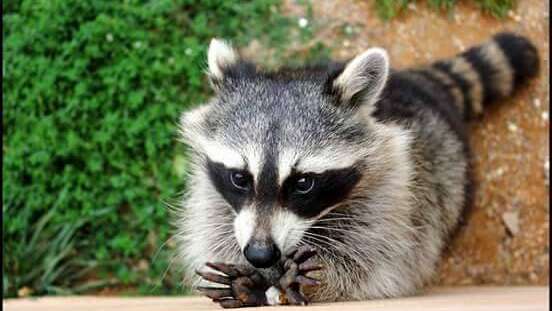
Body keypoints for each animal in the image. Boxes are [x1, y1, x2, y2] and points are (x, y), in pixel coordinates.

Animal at [176, 31, 540, 308]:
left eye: (304, 183)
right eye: (239, 177)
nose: (261, 255)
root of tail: (415, 83)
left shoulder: (395, 188)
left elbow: (377, 262)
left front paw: (313, 279)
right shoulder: (213, 196)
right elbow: (214, 227)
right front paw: (253, 279)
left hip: (452, 169)